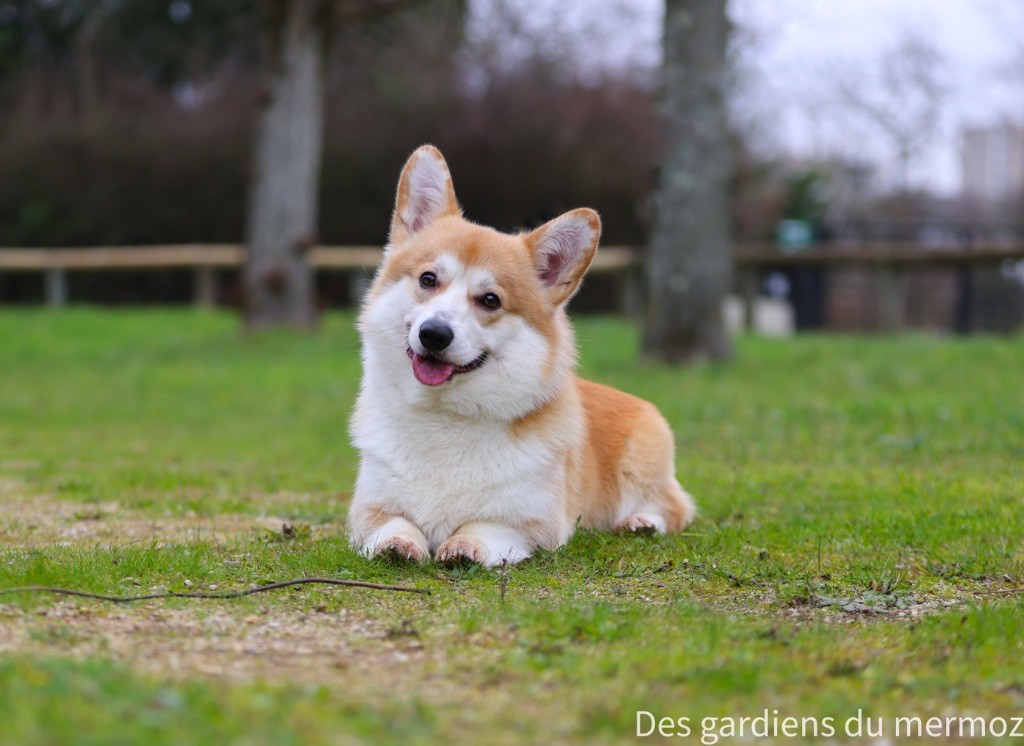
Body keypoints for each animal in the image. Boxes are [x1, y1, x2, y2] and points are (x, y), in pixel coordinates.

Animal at [350, 144, 696, 564]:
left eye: (490, 300)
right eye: (428, 279)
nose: (433, 334)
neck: (444, 416)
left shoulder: (534, 525)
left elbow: (483, 527)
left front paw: (465, 546)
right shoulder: (368, 509)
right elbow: (393, 524)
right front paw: (398, 544)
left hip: (643, 466)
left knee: (673, 508)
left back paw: (640, 522)